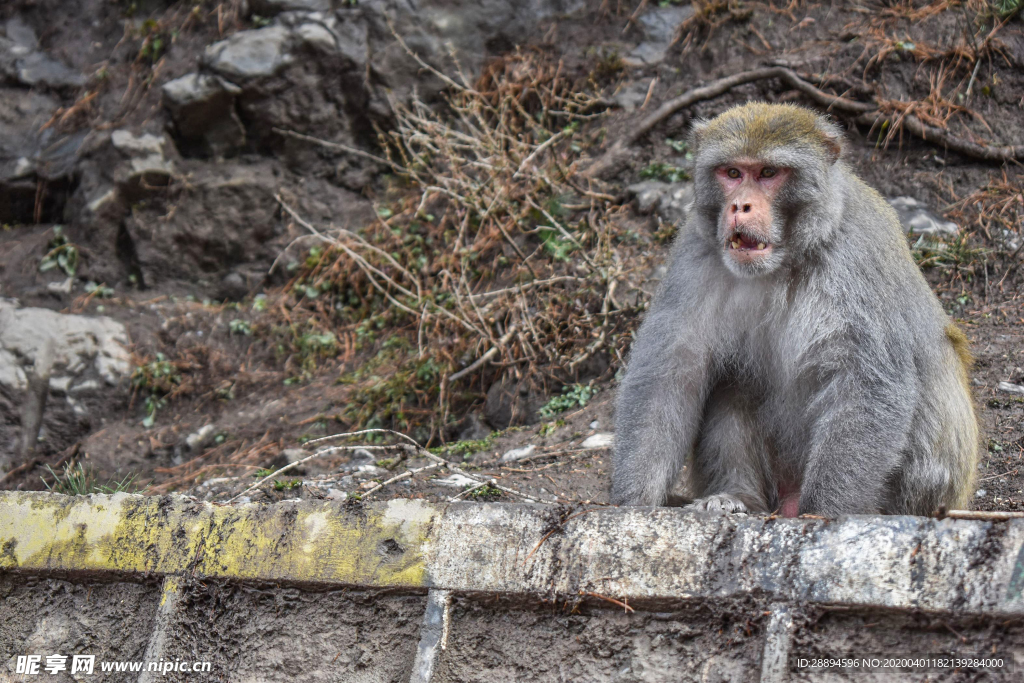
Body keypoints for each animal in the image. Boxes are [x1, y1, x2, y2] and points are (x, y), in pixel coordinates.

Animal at [610, 101, 978, 518]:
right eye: (732, 173)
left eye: (768, 173)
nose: (740, 205)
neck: (783, 262)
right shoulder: (695, 250)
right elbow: (671, 373)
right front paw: (633, 502)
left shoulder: (859, 253)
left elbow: (868, 382)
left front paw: (824, 512)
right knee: (730, 381)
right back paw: (737, 496)